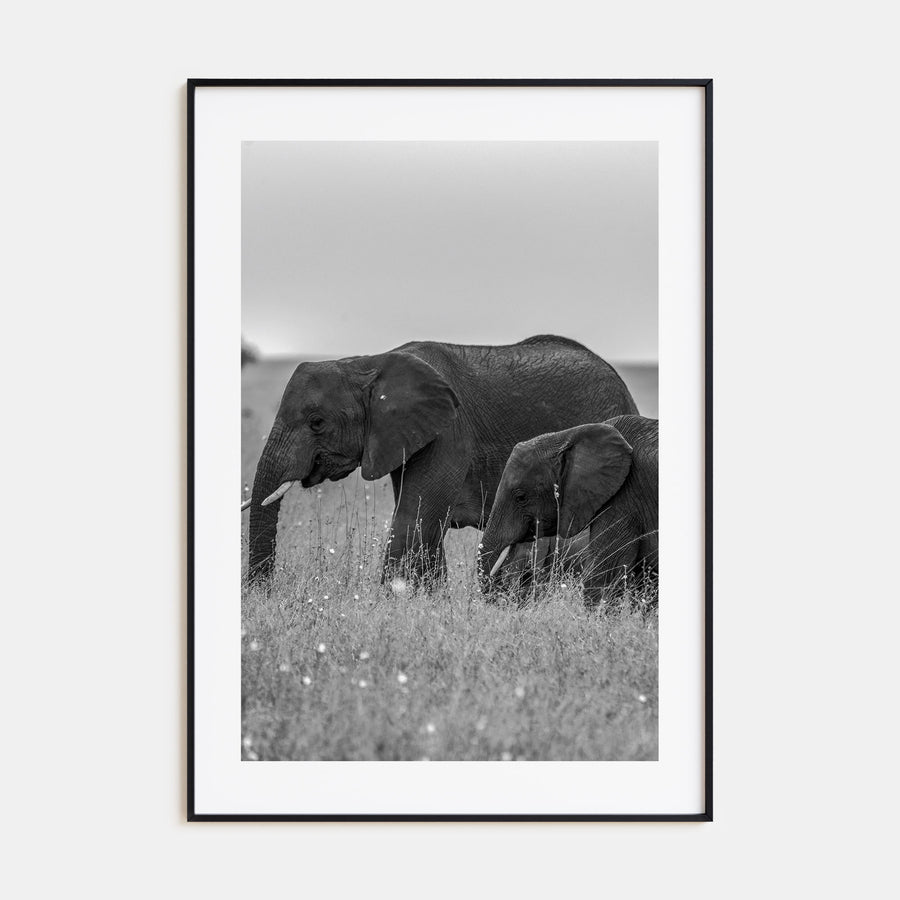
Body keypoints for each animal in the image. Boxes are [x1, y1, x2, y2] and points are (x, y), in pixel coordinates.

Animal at [244, 335, 638, 584]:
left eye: (317, 422)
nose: (263, 593)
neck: (368, 363)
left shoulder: (448, 432)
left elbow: (413, 518)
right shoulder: (404, 436)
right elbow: (424, 522)